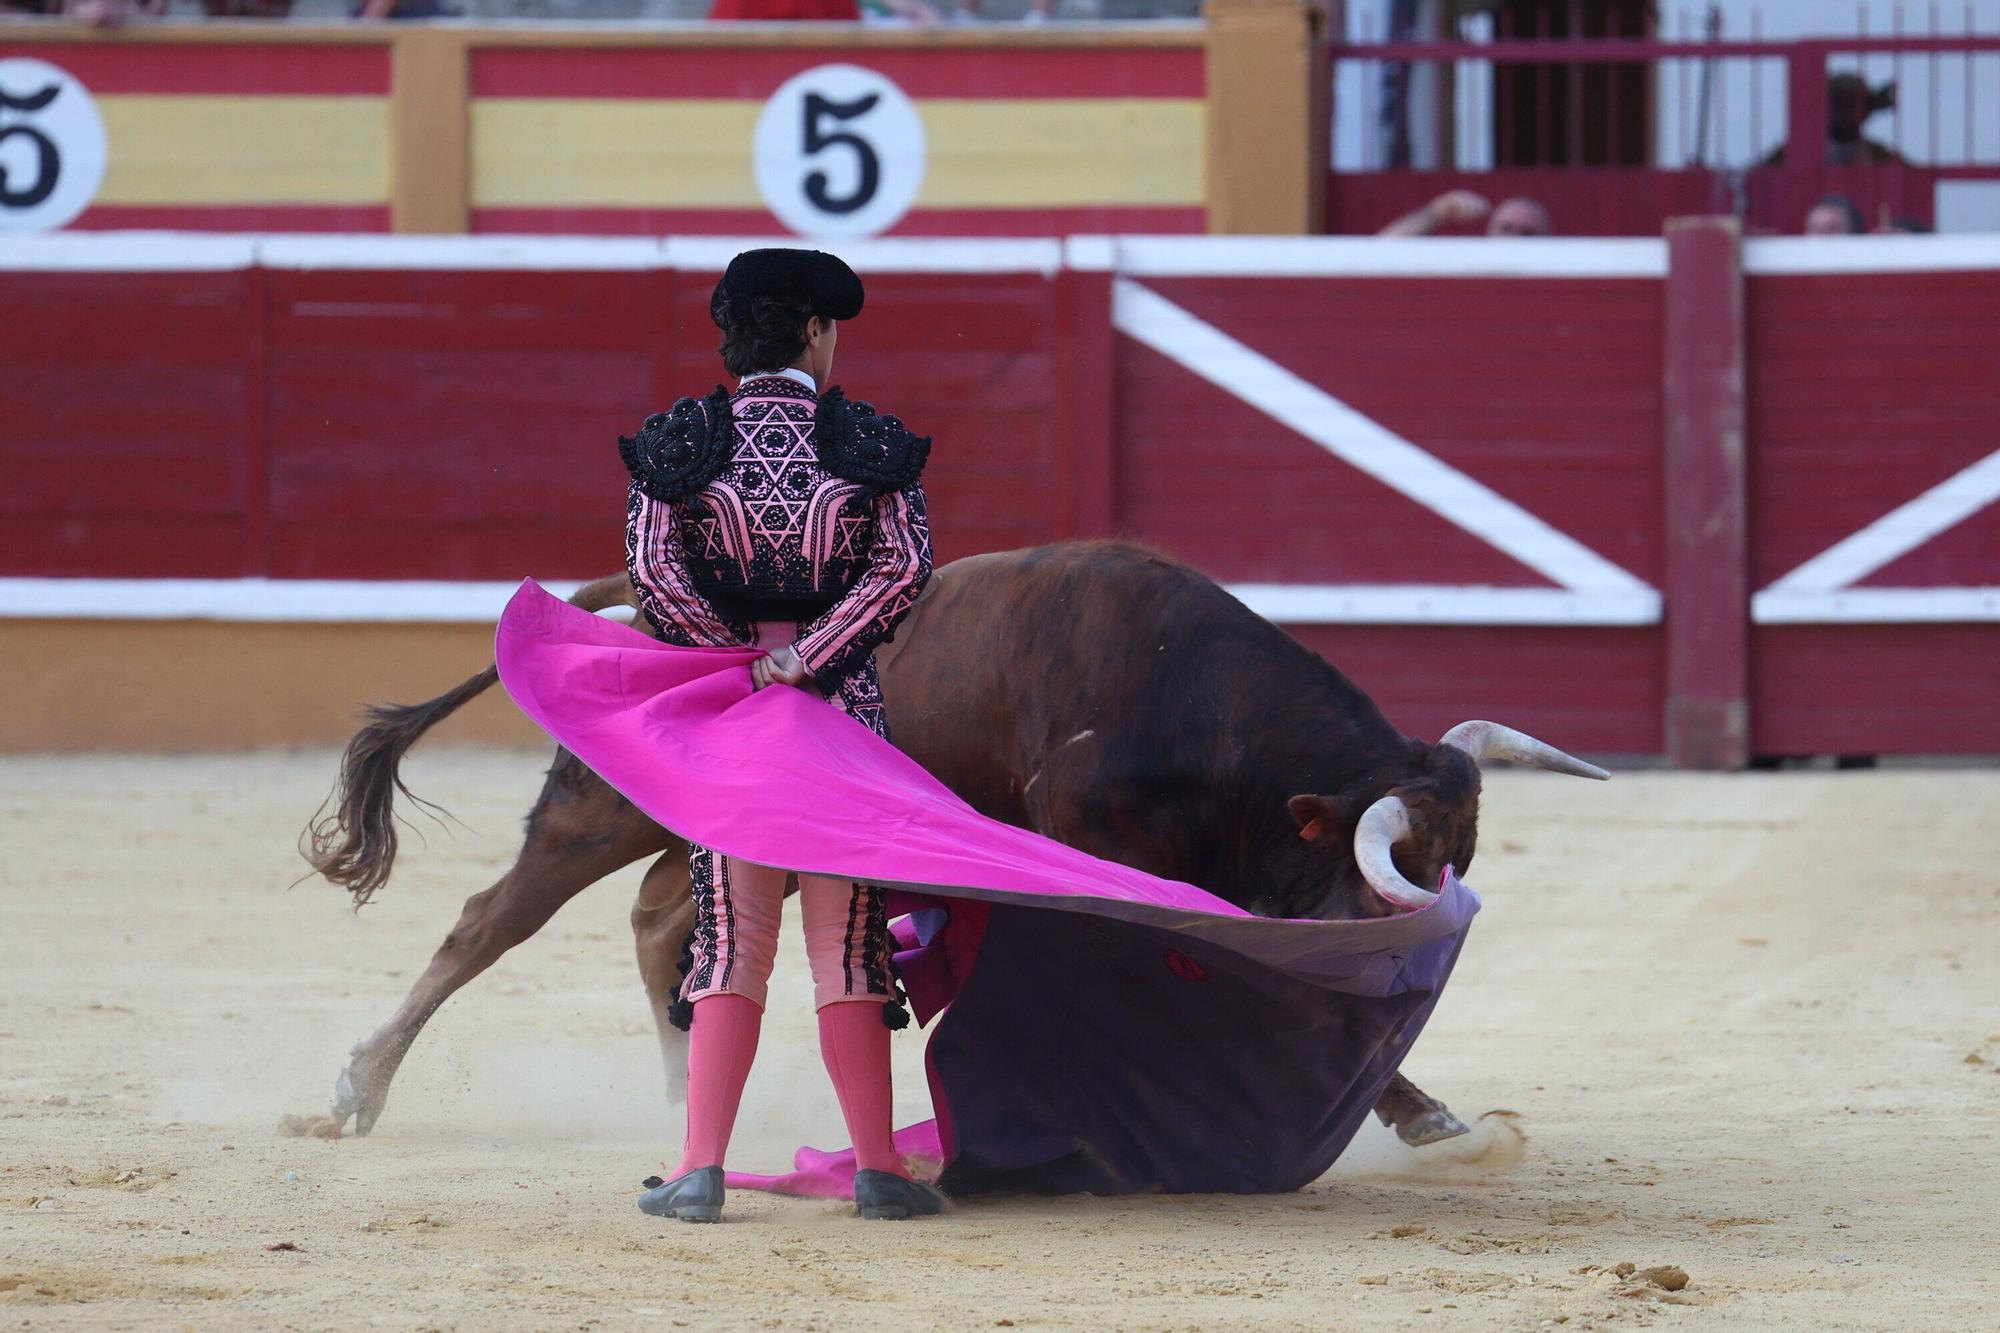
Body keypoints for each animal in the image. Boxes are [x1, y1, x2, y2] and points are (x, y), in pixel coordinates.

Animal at [306, 542, 1604, 1149]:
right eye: (1388, 881)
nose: (1407, 970)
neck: (1190, 705)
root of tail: (625, 595)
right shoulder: (1104, 850)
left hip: (686, 830)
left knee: (661, 919)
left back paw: (684, 1092)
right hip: (591, 811)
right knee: (489, 922)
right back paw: (358, 1086)